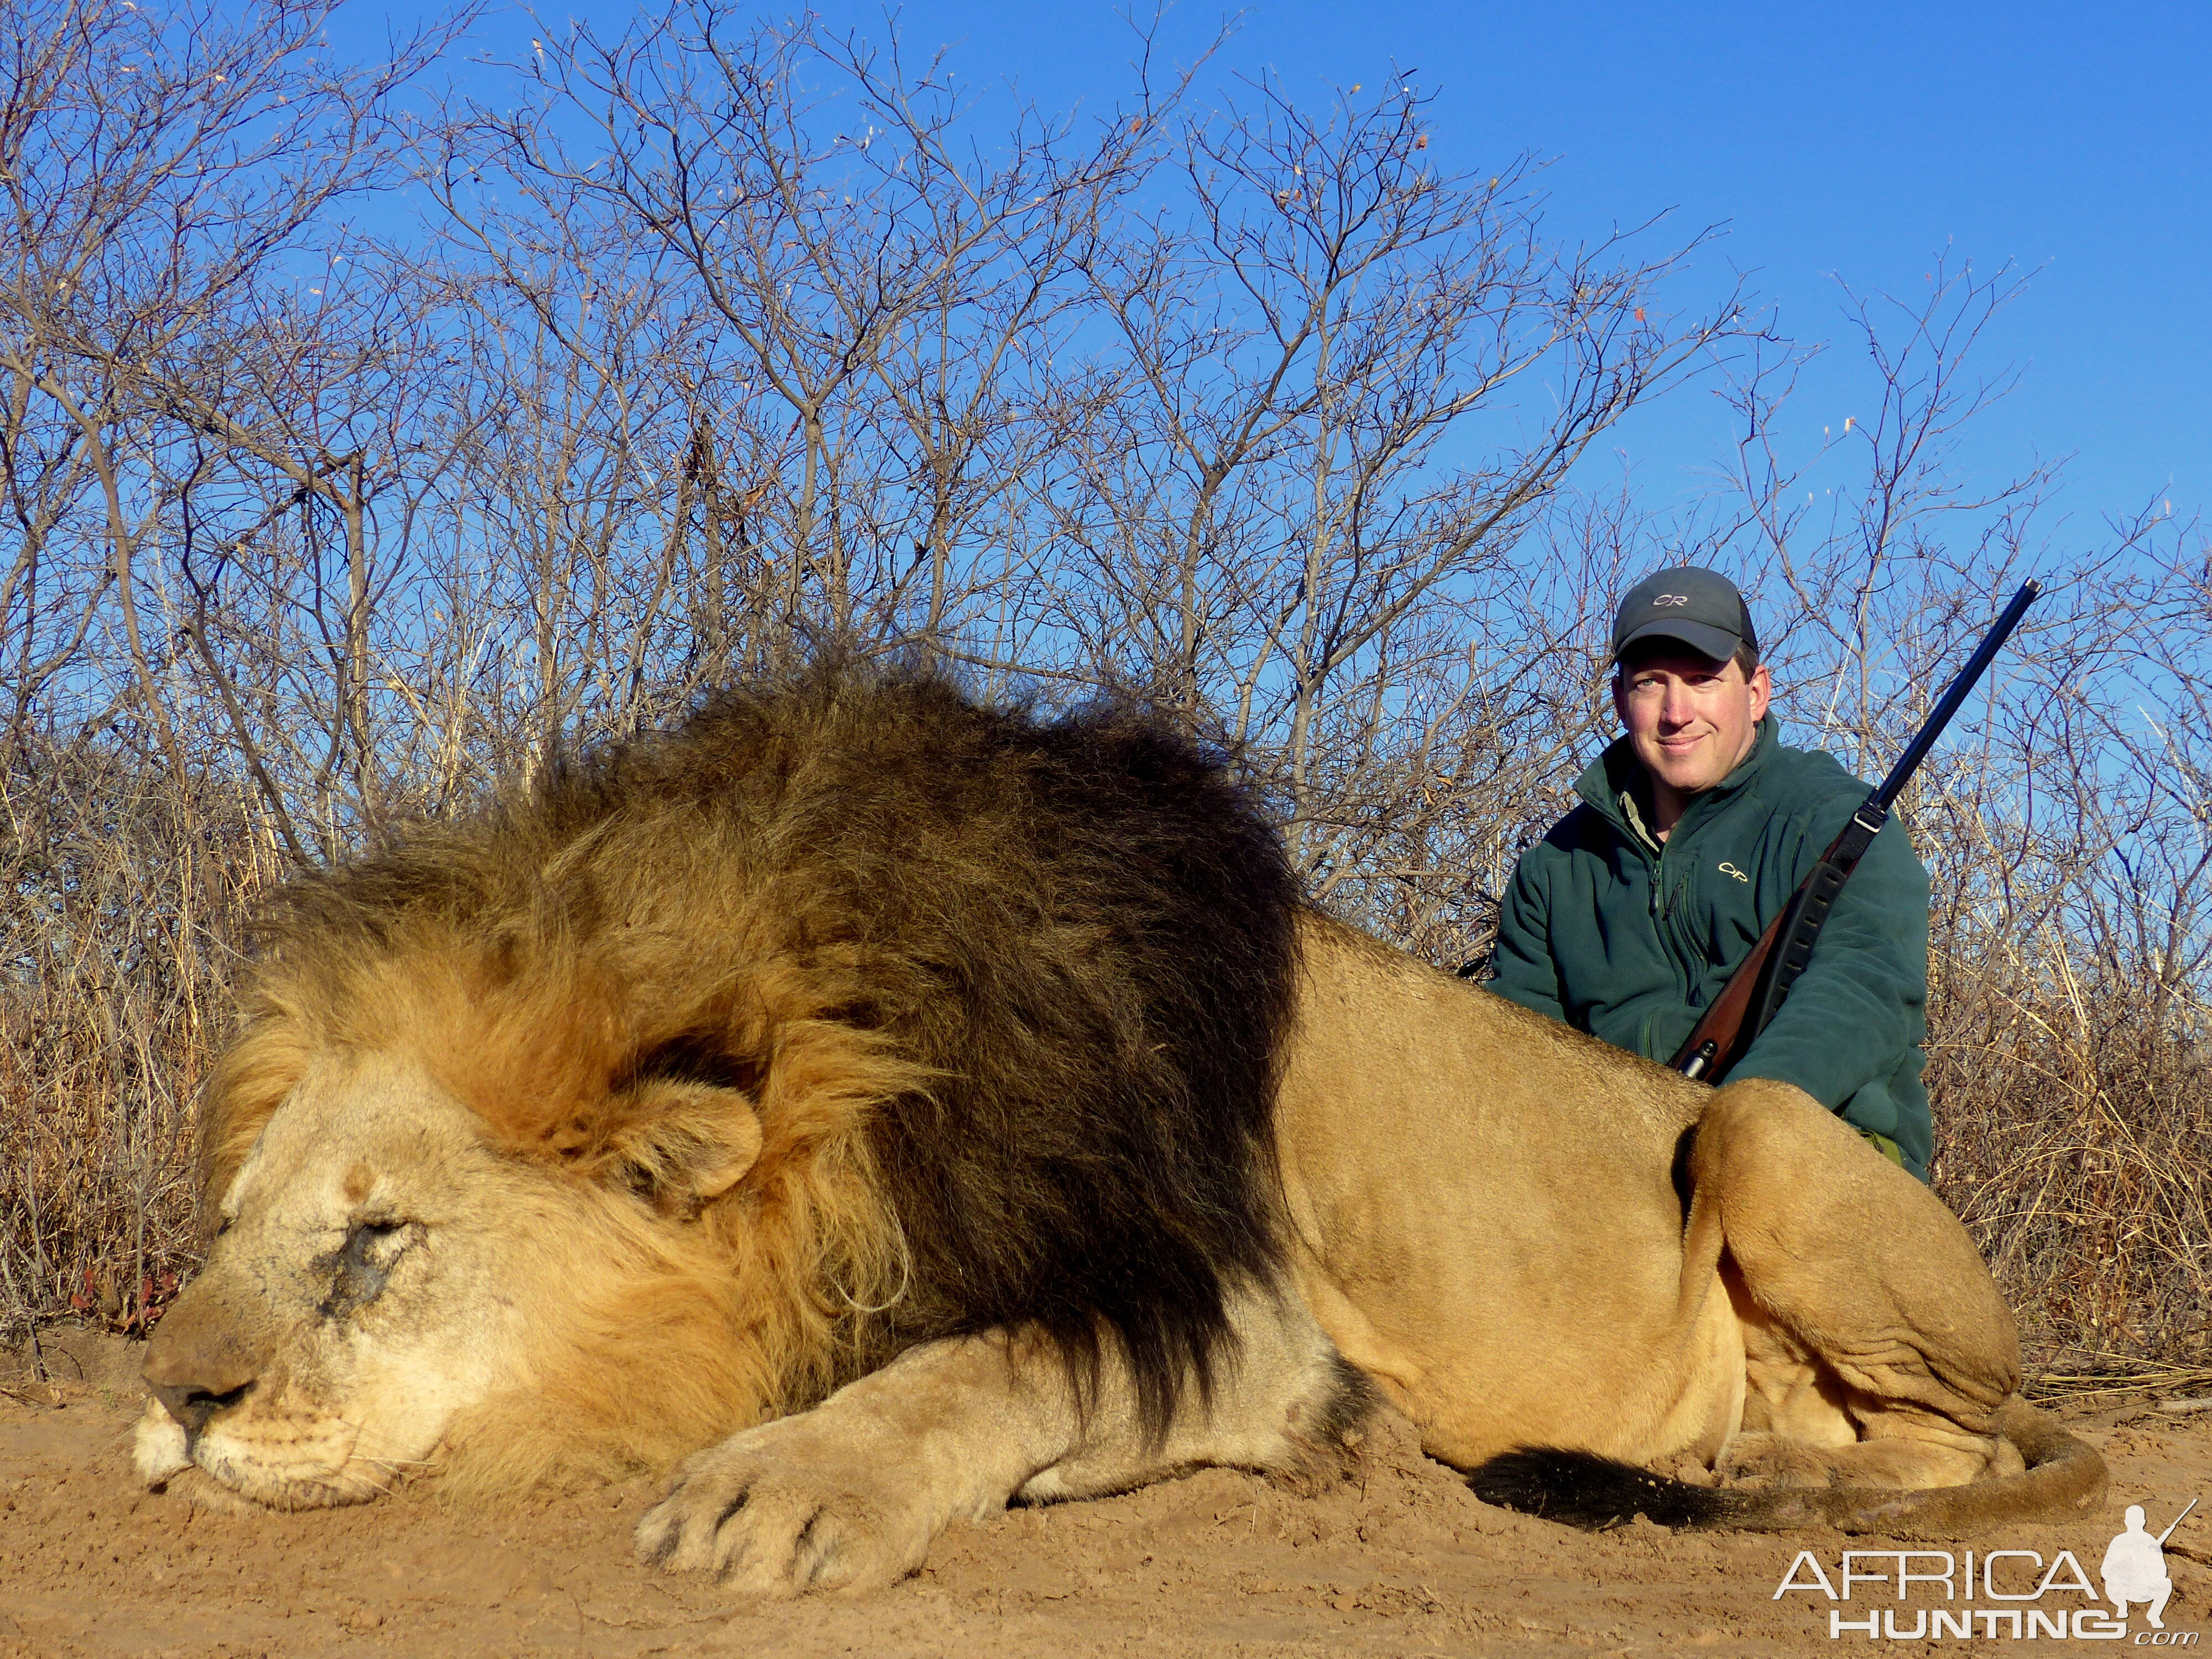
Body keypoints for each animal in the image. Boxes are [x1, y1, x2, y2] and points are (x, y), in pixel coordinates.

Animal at [129, 668, 2097, 1593]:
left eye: (379, 1237)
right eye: (228, 1226)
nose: (172, 1400)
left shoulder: (1254, 1320)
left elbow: (992, 1361)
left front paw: (783, 1491)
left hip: (1756, 1125)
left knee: (1955, 1450)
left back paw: (1756, 1484)